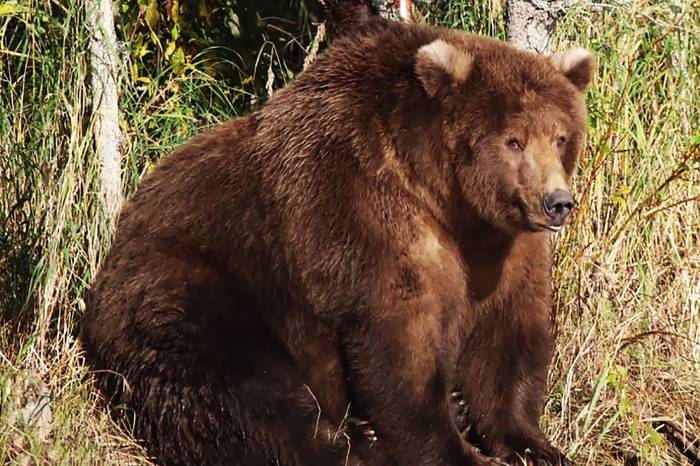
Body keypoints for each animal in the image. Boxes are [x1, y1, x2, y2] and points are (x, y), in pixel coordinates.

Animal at [81, 17, 593, 466]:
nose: (557, 203)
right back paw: (353, 443)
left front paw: (532, 445)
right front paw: (456, 449)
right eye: (514, 140)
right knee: (243, 387)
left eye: (560, 136)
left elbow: (506, 339)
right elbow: (398, 342)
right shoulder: (360, 211)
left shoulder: (502, 249)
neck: (447, 201)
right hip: (191, 285)